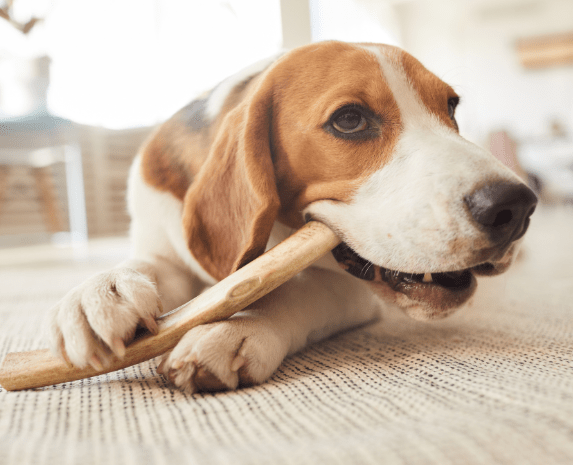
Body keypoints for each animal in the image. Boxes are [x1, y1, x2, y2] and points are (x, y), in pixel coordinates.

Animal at [49, 42, 536, 392]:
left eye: (451, 107)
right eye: (350, 120)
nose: (516, 207)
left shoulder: (347, 288)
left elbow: (297, 289)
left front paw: (233, 328)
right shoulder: (161, 246)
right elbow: (144, 267)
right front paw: (101, 293)